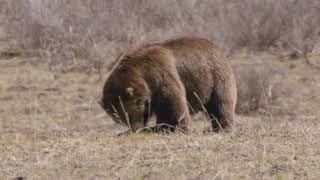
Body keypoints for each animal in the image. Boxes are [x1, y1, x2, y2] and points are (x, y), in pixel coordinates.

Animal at [100, 37, 238, 132]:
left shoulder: (161, 74)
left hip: (215, 77)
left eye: (128, 114)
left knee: (220, 104)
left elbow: (172, 103)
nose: (136, 129)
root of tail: (217, 48)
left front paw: (173, 127)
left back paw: (220, 127)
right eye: (118, 118)